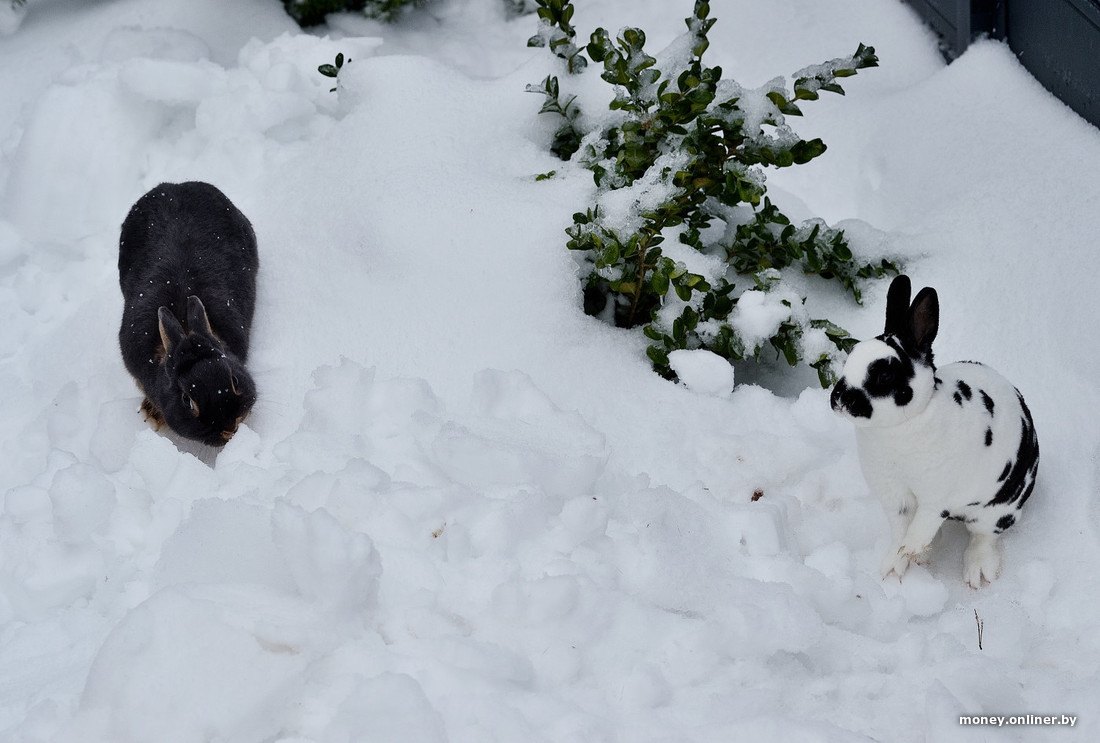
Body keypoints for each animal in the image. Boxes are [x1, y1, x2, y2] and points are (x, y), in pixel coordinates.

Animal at [831, 276, 1038, 589]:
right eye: (849, 359)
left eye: (885, 375)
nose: (840, 399)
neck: (900, 427)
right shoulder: (896, 495)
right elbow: (901, 526)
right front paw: (893, 566)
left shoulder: (937, 496)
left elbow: (922, 524)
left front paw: (909, 550)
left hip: (997, 510)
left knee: (983, 536)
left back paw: (977, 572)